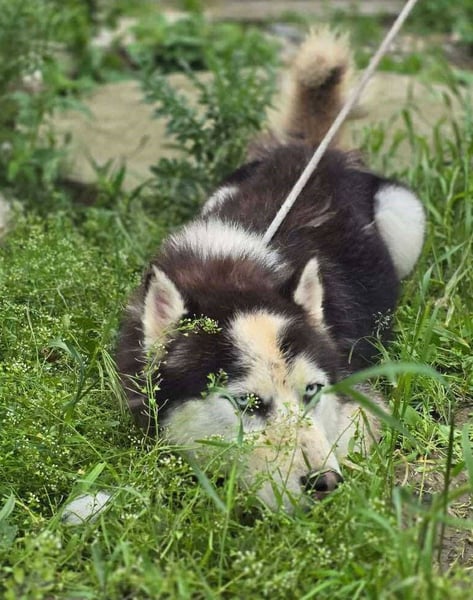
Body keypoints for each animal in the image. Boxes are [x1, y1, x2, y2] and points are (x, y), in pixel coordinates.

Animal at [110, 30, 425, 514]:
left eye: (312, 391)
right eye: (248, 402)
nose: (324, 483)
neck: (233, 277)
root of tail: (312, 151)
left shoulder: (359, 400)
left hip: (404, 216)